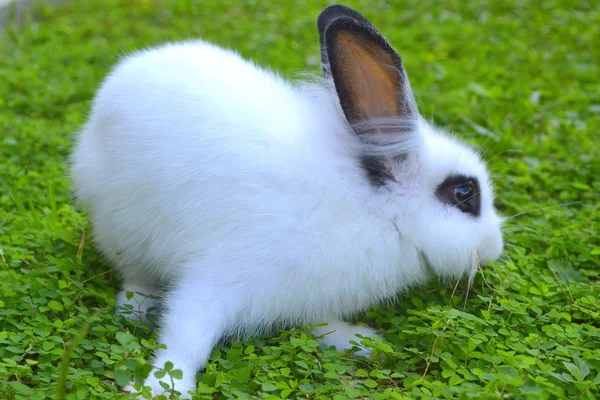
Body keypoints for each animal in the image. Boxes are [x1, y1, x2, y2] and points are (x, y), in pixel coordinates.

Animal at [69, 4, 502, 398]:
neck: (375, 210)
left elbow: (320, 324)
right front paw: (163, 388)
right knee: (134, 281)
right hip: (121, 230)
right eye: (464, 194)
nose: (494, 248)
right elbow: (185, 338)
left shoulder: (310, 295)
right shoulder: (216, 280)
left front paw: (360, 340)